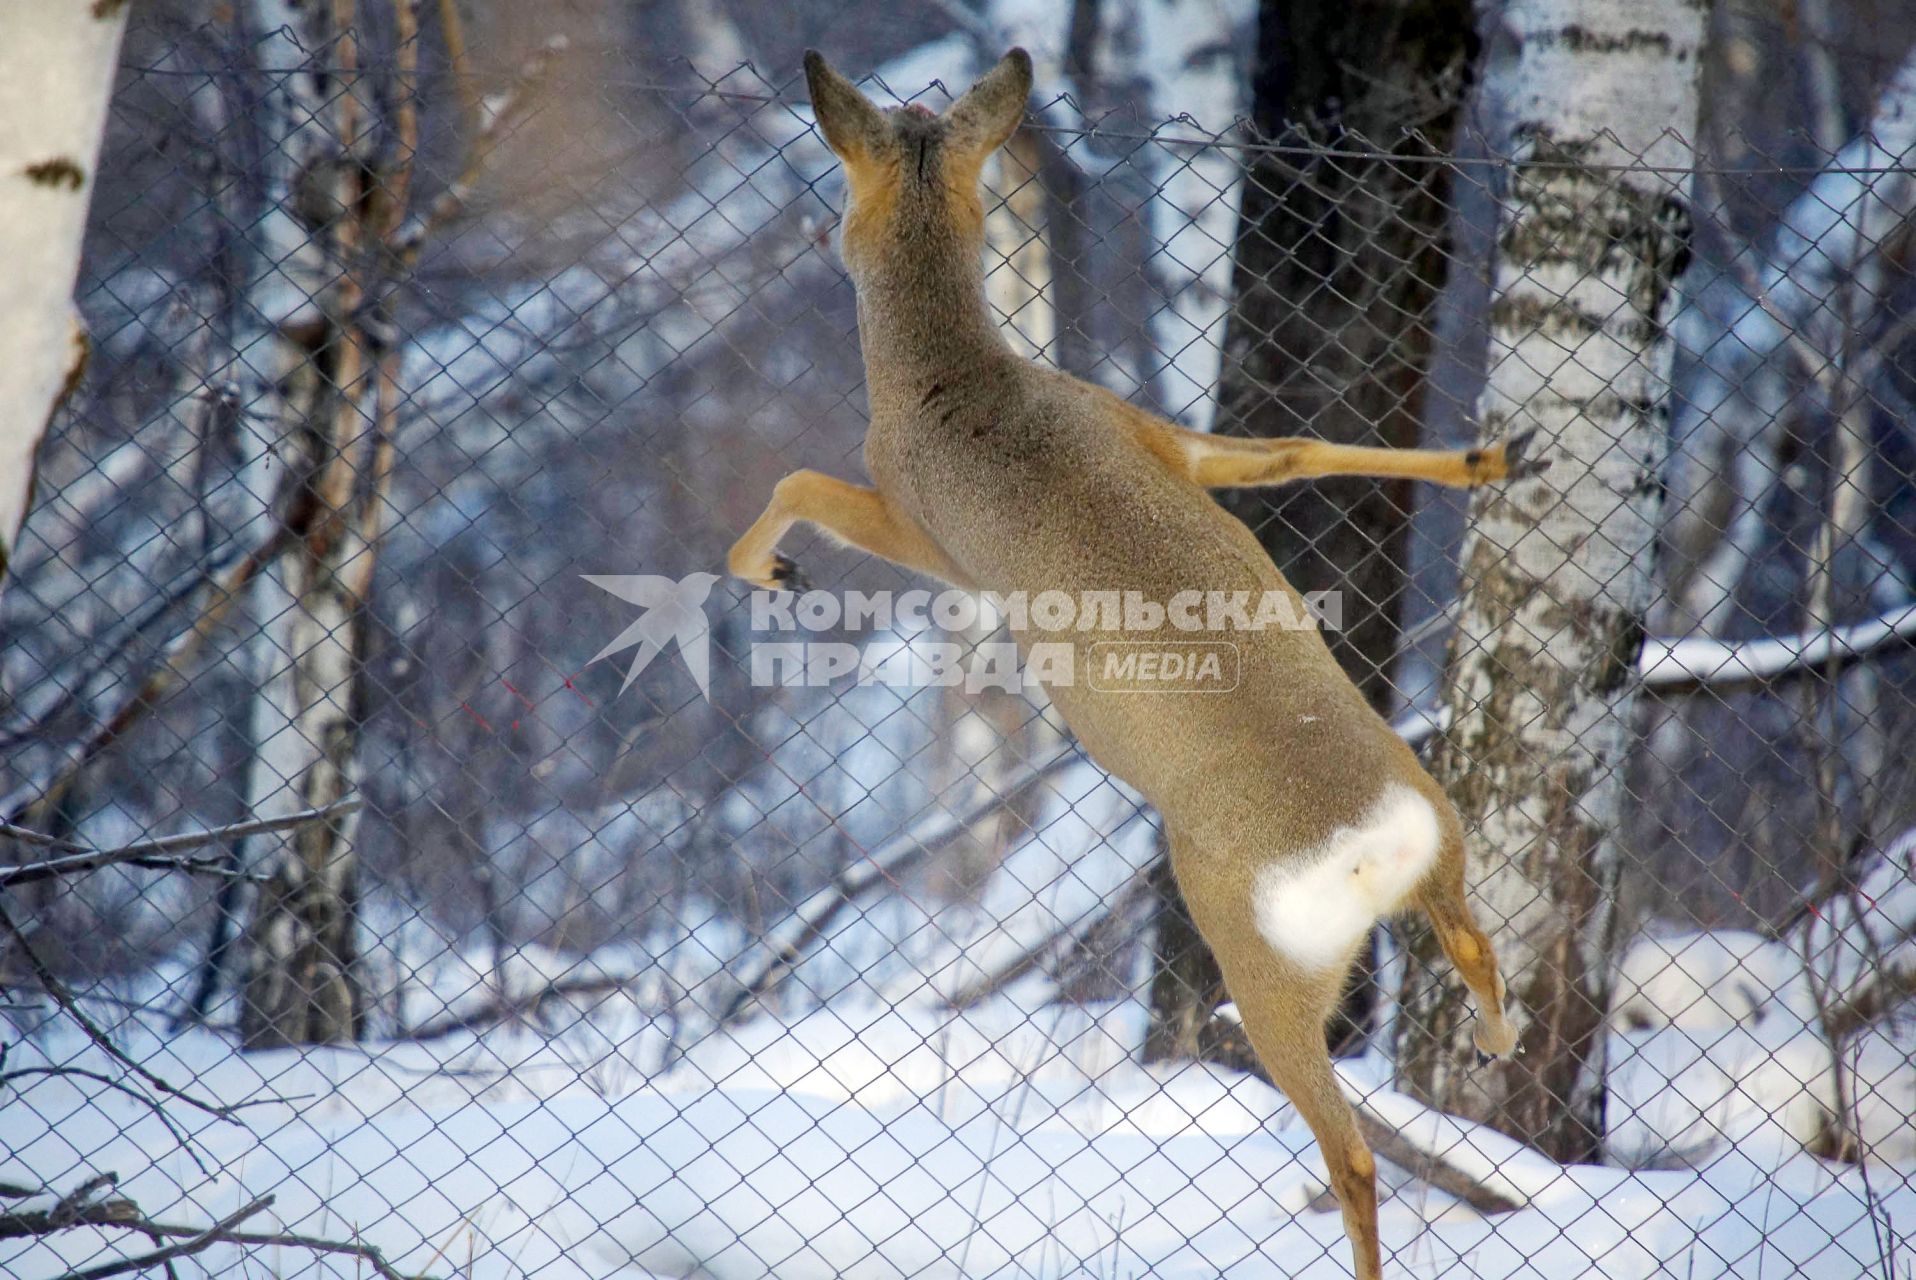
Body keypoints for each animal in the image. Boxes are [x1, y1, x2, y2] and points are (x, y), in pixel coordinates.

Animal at [724, 50, 1532, 1280]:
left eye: (845, 185)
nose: (824, 235)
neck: (956, 378)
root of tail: (1368, 841)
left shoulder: (926, 528)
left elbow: (797, 480)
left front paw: (765, 568)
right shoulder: (1148, 431)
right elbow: (1283, 449)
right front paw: (1486, 457)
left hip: (1254, 949)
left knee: (1351, 1149)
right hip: (1439, 825)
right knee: (1474, 939)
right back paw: (1497, 1036)